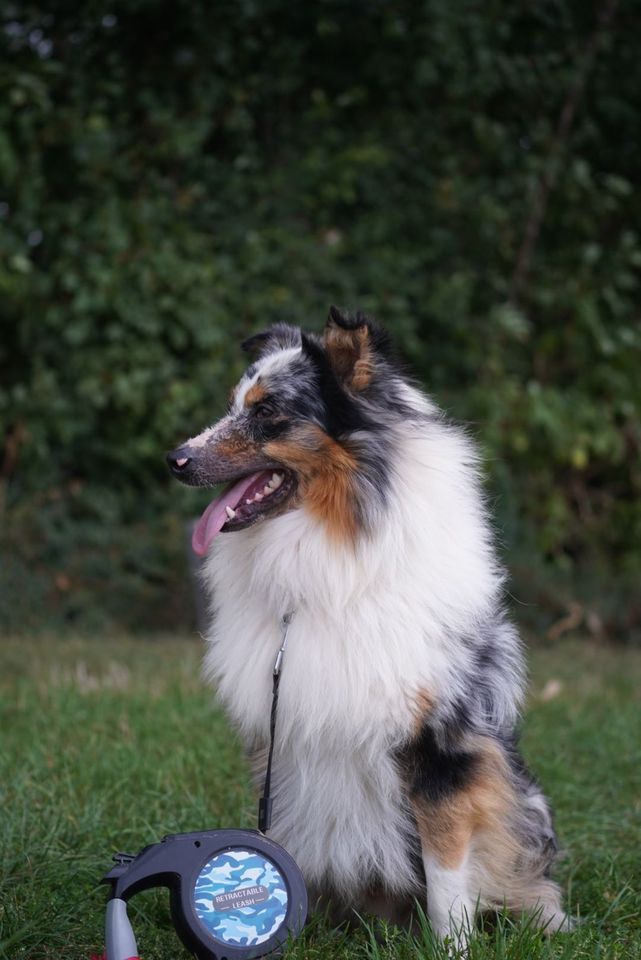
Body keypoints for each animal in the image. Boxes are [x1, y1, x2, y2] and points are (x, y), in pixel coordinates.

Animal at [168, 308, 568, 944]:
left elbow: (446, 871)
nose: (175, 459)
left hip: (522, 801)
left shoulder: (442, 748)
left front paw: (451, 948)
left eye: (267, 412)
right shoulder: (284, 739)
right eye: (234, 406)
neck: (331, 558)